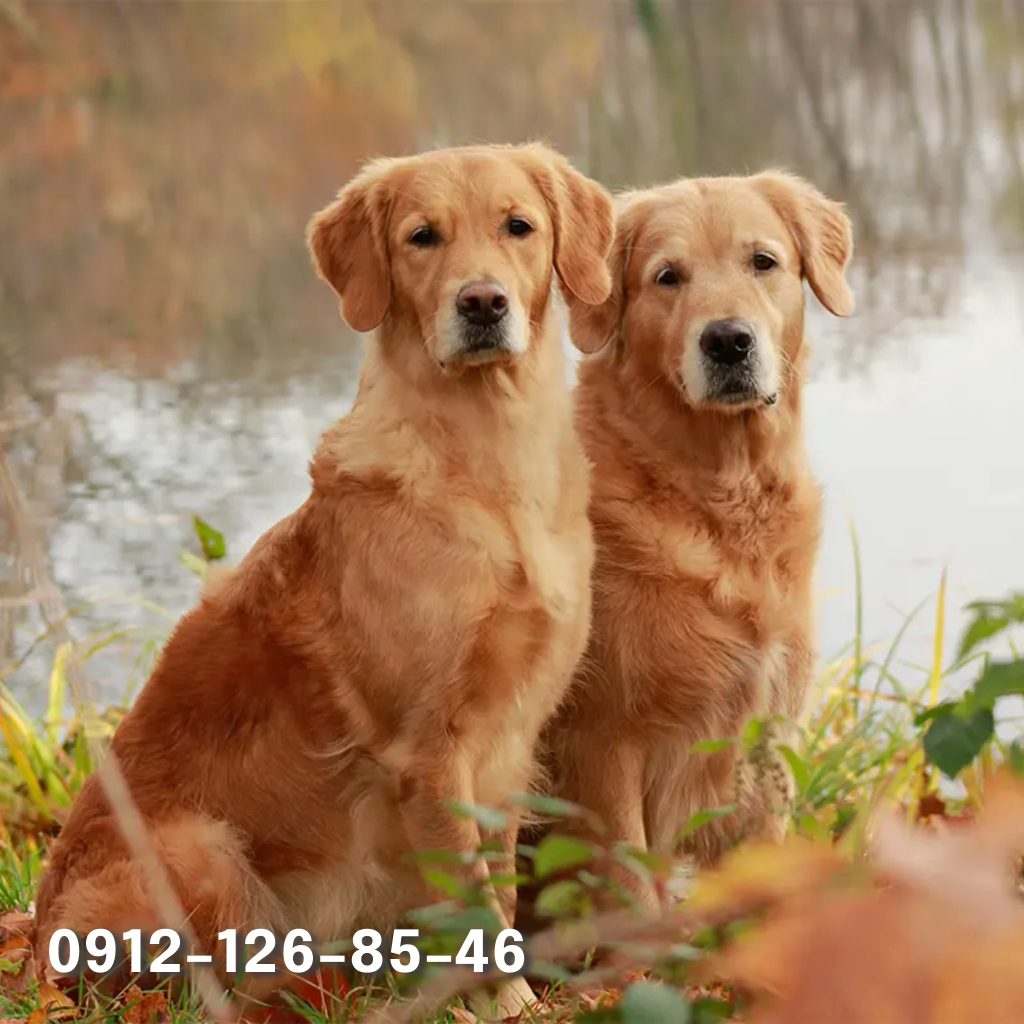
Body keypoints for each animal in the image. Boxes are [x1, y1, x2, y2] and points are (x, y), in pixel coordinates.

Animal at [37, 140, 614, 1011]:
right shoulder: (428, 752)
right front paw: (506, 1007)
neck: (486, 456)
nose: (482, 302)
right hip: (203, 849)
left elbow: (503, 891)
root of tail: (35, 946)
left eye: (518, 226)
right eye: (421, 237)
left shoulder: (509, 743)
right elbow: (476, 906)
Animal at [544, 174, 856, 905]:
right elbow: (630, 885)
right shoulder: (602, 745)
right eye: (668, 277)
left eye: (762, 262)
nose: (728, 341)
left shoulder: (768, 736)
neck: (721, 495)